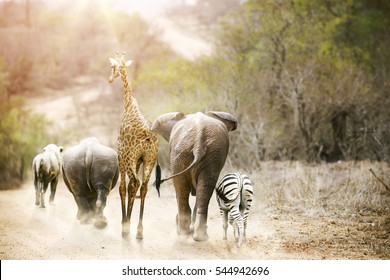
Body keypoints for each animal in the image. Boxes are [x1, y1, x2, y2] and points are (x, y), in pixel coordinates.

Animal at [108, 52, 158, 238]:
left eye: (112, 67)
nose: (109, 79)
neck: (129, 104)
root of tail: (148, 138)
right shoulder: (138, 161)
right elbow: (130, 187)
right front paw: (127, 221)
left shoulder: (121, 154)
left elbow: (123, 187)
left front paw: (124, 222)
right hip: (150, 160)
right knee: (143, 187)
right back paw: (139, 230)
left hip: (130, 159)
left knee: (135, 184)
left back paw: (128, 227)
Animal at [152, 111, 238, 241]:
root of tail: (199, 136)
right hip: (198, 153)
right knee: (201, 188)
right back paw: (197, 236)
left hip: (188, 153)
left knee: (187, 189)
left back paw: (185, 233)